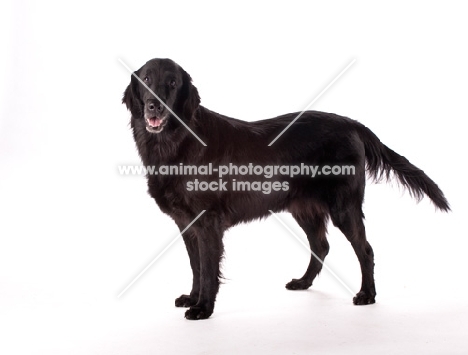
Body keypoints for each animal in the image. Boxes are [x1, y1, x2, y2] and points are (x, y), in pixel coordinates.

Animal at [121, 59, 450, 322]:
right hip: (303, 208)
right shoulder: (186, 223)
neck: (175, 143)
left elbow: (208, 268)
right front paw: (193, 297)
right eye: (146, 79)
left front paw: (203, 308)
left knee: (365, 249)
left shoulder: (208, 222)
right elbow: (196, 265)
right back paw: (303, 283)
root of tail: (352, 124)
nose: (154, 105)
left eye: (172, 83)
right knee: (321, 246)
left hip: (343, 206)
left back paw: (367, 294)